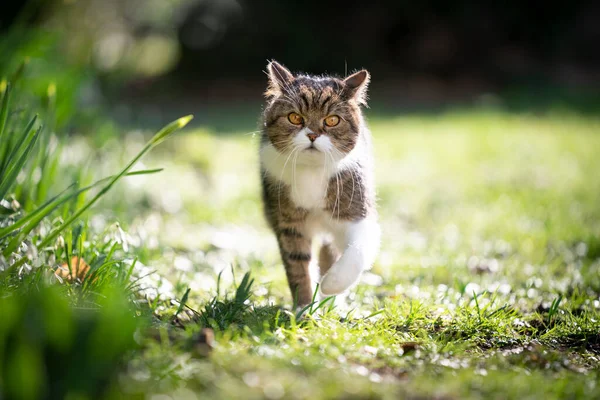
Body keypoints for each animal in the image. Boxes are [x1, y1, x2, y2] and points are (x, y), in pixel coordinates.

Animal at [258, 61, 380, 308]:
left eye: (332, 120)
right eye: (295, 117)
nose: (313, 135)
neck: (312, 171)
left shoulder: (358, 211)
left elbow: (357, 251)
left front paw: (331, 284)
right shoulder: (288, 223)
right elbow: (297, 265)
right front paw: (304, 306)